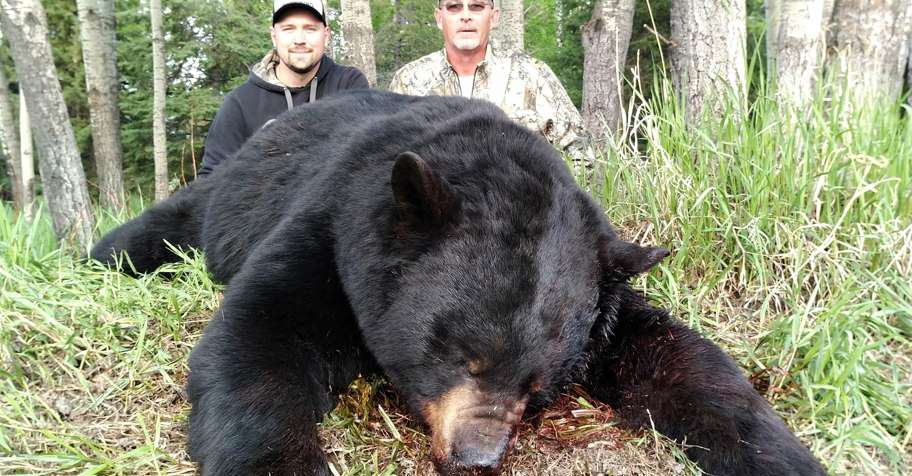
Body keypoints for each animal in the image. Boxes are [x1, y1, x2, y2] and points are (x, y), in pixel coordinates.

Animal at [91, 90, 825, 476]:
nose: (478, 456)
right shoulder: (332, 229)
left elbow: (680, 359)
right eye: (459, 355)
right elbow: (258, 340)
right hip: (223, 197)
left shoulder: (601, 297)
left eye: (538, 386)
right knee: (160, 229)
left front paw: (783, 454)